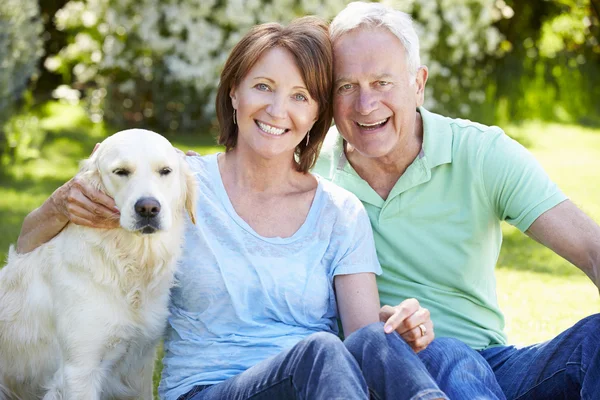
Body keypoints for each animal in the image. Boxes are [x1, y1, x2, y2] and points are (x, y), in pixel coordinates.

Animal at [0, 130, 198, 398]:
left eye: (165, 171)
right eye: (121, 171)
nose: (148, 208)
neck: (128, 263)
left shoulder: (139, 367)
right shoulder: (79, 371)